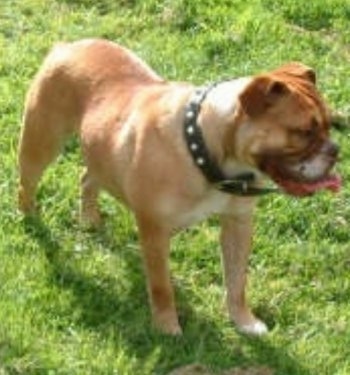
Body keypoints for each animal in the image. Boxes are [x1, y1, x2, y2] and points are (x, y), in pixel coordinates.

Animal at [17, 39, 340, 336]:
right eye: (303, 132)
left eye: (330, 125)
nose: (335, 150)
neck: (204, 150)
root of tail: (68, 45)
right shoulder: (155, 233)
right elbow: (161, 287)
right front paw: (167, 327)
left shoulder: (238, 224)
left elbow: (237, 281)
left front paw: (243, 321)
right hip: (41, 141)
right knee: (27, 182)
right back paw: (30, 218)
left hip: (100, 153)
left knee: (87, 178)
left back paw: (89, 220)